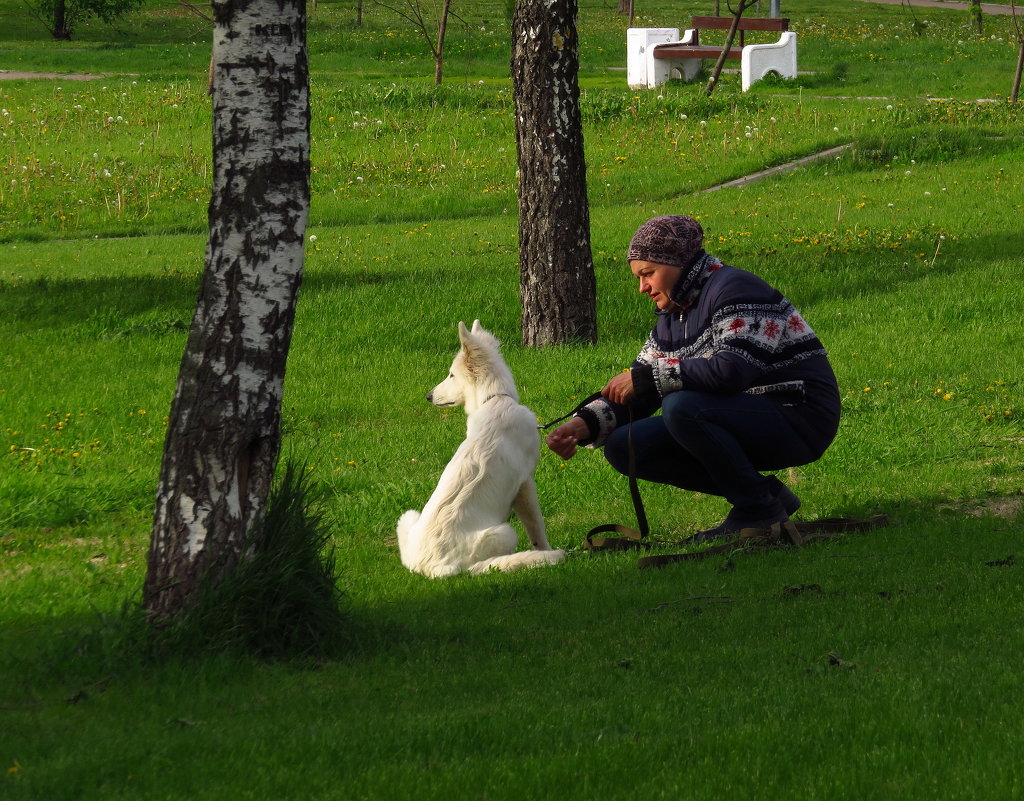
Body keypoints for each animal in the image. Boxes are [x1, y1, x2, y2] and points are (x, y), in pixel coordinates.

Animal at [395, 323, 569, 581]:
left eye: (451, 375)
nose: (428, 396)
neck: (495, 400)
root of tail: (433, 568)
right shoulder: (525, 484)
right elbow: (537, 527)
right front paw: (546, 551)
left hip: (408, 517)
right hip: (505, 532)